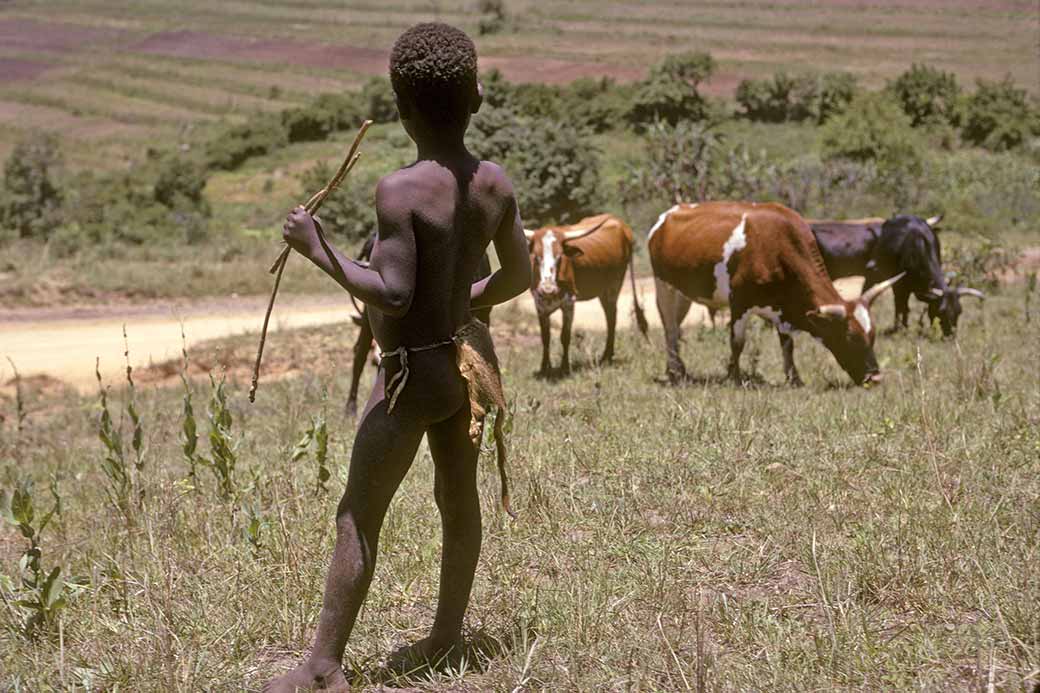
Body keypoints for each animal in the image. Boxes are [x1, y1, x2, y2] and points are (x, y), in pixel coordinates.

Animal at [524, 212, 644, 374]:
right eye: (536, 257)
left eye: (559, 257)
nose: (548, 288)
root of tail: (623, 227)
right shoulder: (539, 305)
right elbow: (545, 337)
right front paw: (544, 368)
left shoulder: (569, 303)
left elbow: (565, 336)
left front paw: (564, 367)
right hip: (602, 290)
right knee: (609, 314)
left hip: (614, 285)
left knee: (611, 318)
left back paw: (606, 357)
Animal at [648, 199, 902, 385]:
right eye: (850, 337)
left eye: (872, 335)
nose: (875, 377)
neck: (777, 245)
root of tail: (668, 214)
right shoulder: (739, 302)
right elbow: (737, 342)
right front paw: (734, 377)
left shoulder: (782, 309)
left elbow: (787, 344)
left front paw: (794, 378)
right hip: (664, 286)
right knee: (670, 328)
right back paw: (674, 372)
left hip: (683, 292)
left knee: (676, 326)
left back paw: (679, 369)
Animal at [811, 213, 981, 337]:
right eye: (941, 310)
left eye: (959, 311)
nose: (950, 335)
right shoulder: (898, 284)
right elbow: (902, 306)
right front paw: (901, 329)